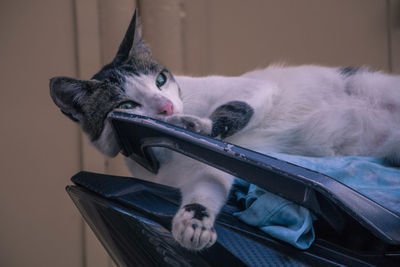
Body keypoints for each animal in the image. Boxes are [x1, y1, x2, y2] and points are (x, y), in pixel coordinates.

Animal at [50, 9, 400, 251]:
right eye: (126, 104)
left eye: (160, 80)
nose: (166, 108)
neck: (163, 155)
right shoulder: (200, 172)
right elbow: (207, 188)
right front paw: (193, 222)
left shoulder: (252, 88)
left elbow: (232, 112)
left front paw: (195, 124)